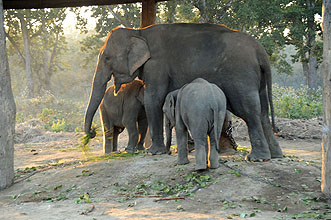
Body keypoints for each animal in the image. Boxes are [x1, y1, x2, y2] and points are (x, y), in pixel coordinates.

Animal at [83, 22, 282, 162]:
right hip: (257, 79)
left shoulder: (156, 66)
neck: (139, 32)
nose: (91, 133)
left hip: (241, 76)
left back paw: (257, 158)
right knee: (262, 111)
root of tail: (261, 51)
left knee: (249, 111)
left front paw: (153, 153)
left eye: (106, 58)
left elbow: (153, 100)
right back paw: (275, 156)